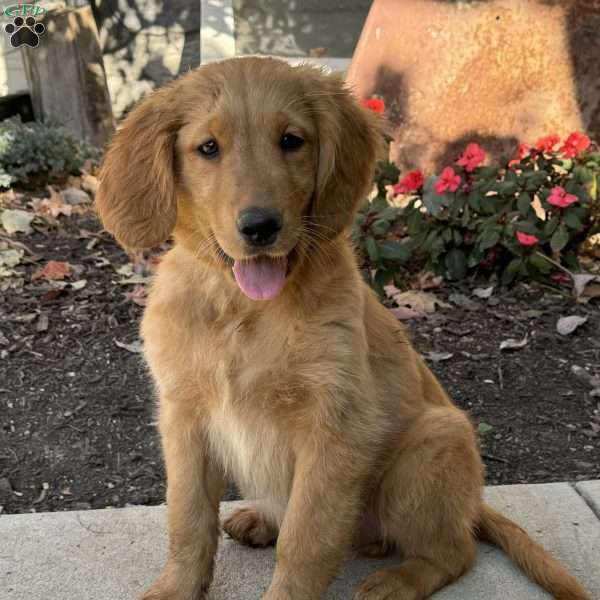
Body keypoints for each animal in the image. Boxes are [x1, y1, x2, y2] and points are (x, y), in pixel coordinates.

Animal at [97, 56, 592, 600]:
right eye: (208, 148)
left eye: (291, 141)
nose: (260, 226)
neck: (242, 311)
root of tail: (473, 504)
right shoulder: (184, 419)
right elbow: (187, 518)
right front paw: (176, 587)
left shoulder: (334, 429)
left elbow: (306, 538)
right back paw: (261, 520)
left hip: (428, 448)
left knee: (454, 552)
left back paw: (395, 582)